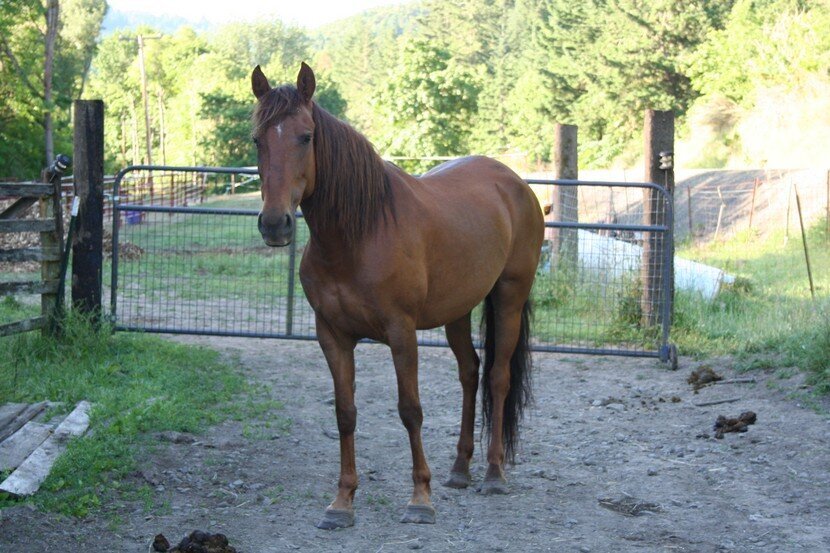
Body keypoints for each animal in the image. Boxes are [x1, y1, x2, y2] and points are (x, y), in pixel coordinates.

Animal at [251, 63, 544, 529]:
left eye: (306, 137)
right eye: (257, 140)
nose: (275, 224)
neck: (359, 234)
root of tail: (514, 183)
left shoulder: (401, 333)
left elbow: (410, 410)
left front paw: (420, 499)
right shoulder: (332, 336)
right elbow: (345, 413)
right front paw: (342, 502)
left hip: (509, 298)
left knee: (498, 377)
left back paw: (494, 475)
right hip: (458, 311)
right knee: (470, 373)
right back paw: (460, 470)